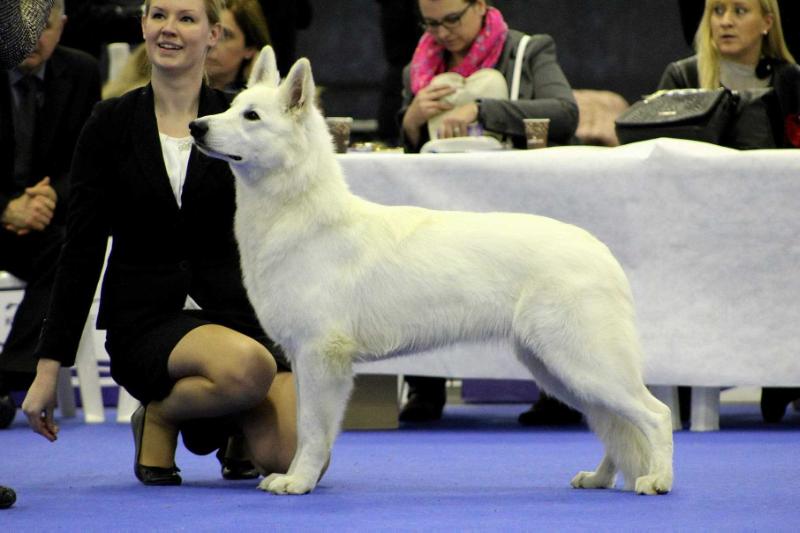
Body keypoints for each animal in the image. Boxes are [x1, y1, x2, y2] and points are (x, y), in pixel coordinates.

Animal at [191, 47, 672, 496]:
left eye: (252, 116)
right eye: (231, 107)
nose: (196, 126)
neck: (298, 212)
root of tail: (600, 250)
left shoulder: (320, 358)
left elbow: (311, 430)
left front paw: (300, 481)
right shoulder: (308, 360)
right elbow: (315, 430)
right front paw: (300, 477)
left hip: (582, 363)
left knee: (654, 415)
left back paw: (658, 479)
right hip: (560, 370)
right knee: (614, 423)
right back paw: (600, 478)